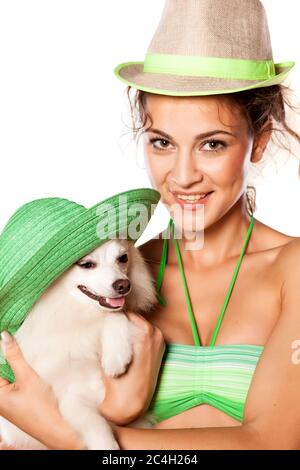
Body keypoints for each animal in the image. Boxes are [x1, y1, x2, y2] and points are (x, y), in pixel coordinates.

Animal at [0, 241, 158, 450]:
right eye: (86, 264)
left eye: (123, 258)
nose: (124, 285)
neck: (83, 316)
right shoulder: (70, 396)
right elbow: (95, 423)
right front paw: (106, 445)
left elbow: (115, 315)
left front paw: (115, 357)